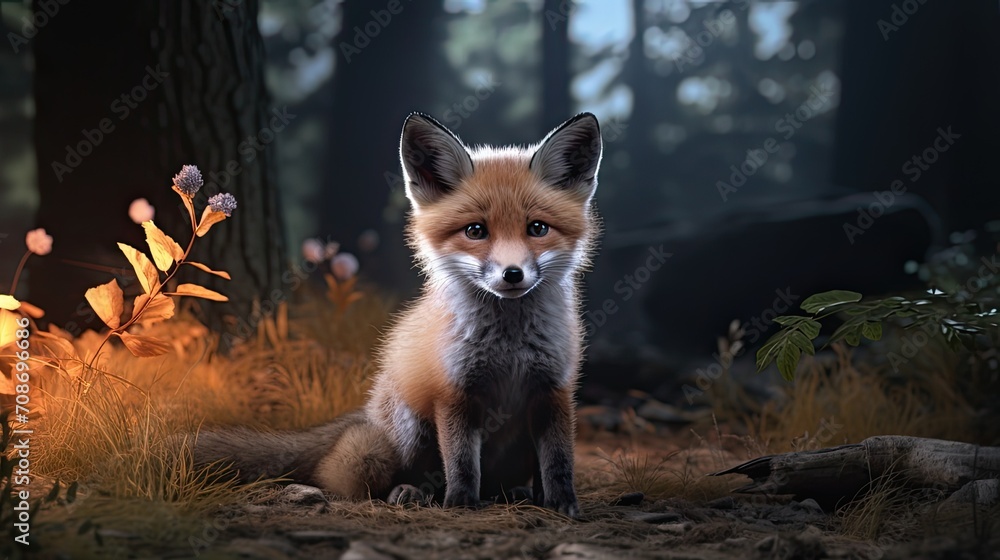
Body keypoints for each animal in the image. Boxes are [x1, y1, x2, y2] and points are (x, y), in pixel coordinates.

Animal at [193, 111, 603, 518]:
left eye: (537, 228)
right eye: (475, 230)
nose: (512, 274)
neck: (509, 347)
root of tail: (367, 412)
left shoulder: (554, 390)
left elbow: (559, 462)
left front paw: (563, 505)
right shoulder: (453, 393)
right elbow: (462, 463)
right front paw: (460, 505)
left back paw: (514, 493)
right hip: (403, 434)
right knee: (371, 481)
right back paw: (412, 492)